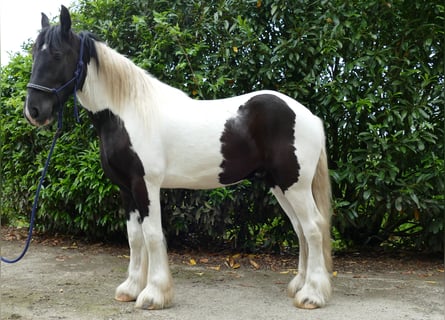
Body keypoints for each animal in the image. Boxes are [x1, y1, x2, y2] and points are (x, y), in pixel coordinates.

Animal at [22, 5, 332, 310]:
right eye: (35, 53)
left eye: (57, 54)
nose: (34, 111)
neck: (128, 113)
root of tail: (309, 116)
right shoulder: (125, 189)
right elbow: (134, 238)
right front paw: (131, 288)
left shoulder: (145, 185)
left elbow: (152, 235)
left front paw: (154, 294)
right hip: (280, 185)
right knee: (300, 229)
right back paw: (299, 285)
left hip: (295, 186)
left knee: (313, 228)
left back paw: (312, 295)